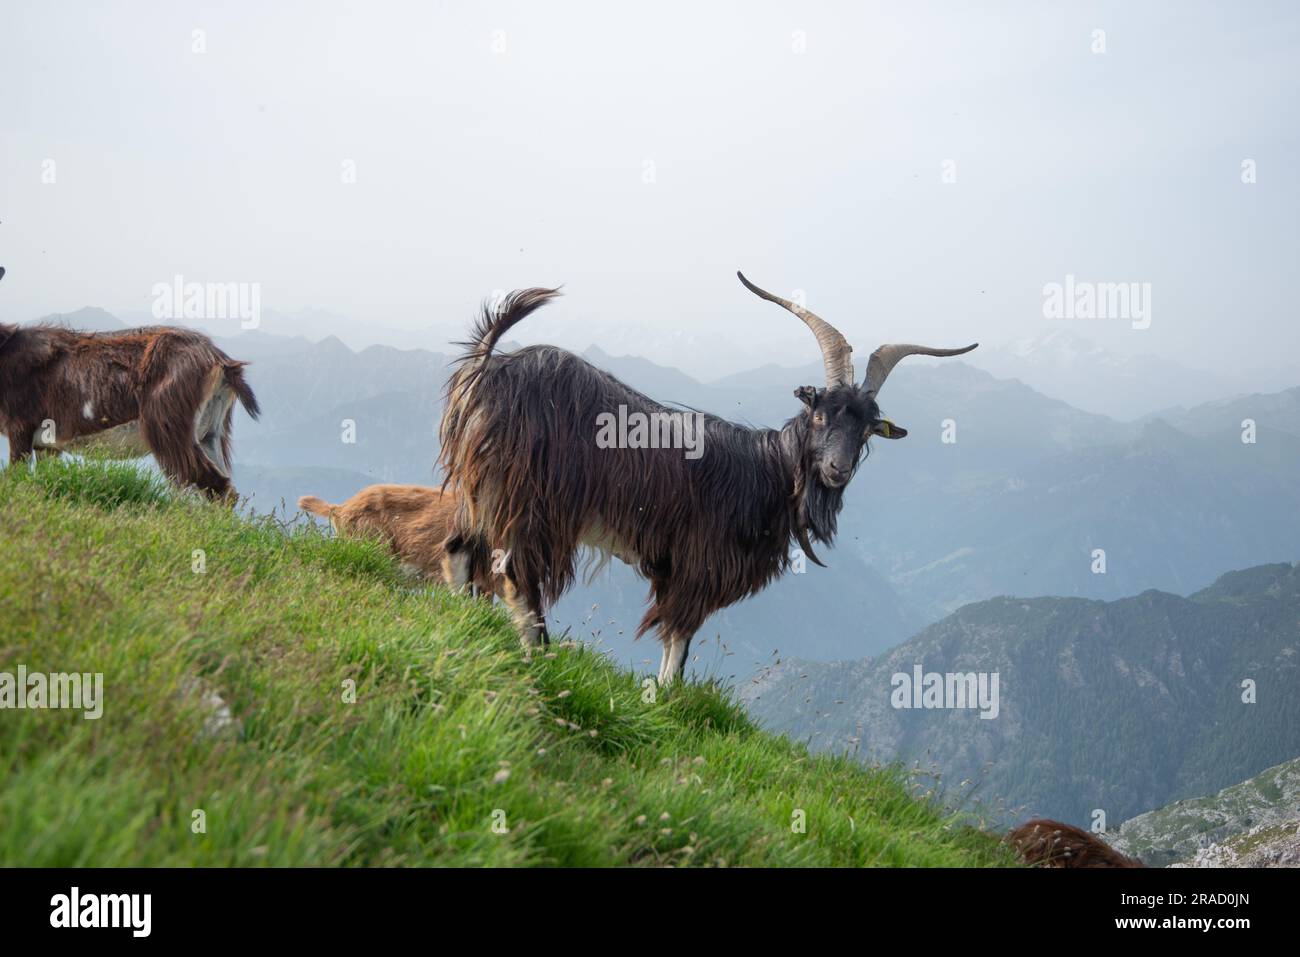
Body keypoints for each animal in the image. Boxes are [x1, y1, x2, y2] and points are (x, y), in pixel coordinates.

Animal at [0, 320, 259, 499]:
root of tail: (220, 361)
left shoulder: (20, 429)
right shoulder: (48, 445)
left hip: (169, 430)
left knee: (215, 486)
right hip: (210, 434)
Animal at [439, 275, 977, 683]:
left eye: (866, 431)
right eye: (820, 414)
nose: (836, 470)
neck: (769, 471)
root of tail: (488, 367)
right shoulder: (698, 566)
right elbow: (678, 643)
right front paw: (662, 703)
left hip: (482, 489)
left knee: (459, 548)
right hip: (528, 498)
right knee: (515, 573)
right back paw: (539, 658)